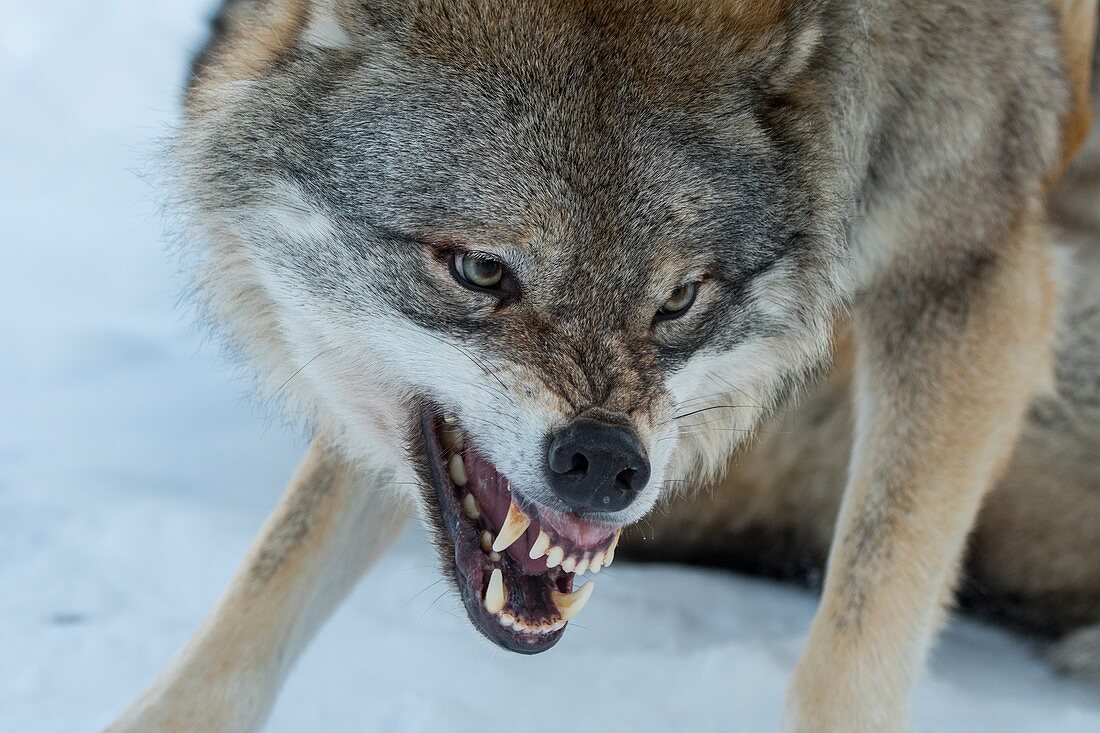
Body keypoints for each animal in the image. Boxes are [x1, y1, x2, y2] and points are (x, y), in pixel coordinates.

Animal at [107, 1, 1095, 730]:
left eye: (679, 299)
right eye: (482, 270)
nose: (605, 462)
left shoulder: (967, 275)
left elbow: (857, 638)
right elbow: (271, 576)